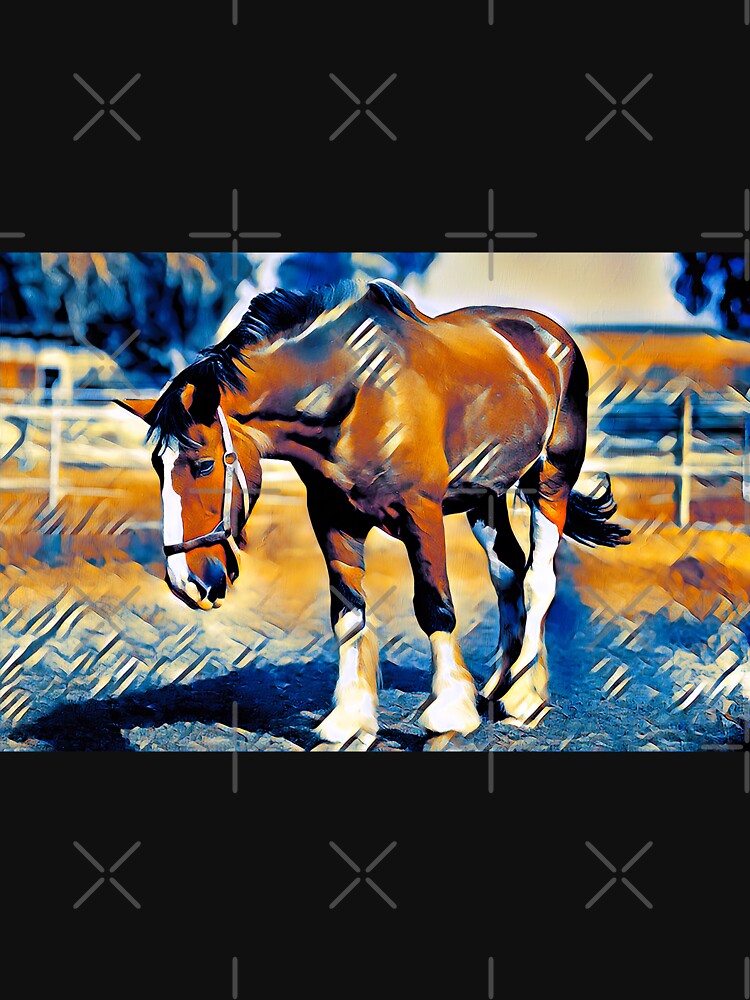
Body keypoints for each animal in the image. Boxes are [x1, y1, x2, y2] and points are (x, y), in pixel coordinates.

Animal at [118, 278, 629, 745]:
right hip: (486, 497)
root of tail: (550, 336)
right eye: (157, 466)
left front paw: (448, 713)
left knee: (539, 578)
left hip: (550, 482)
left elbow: (435, 607)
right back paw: (497, 688)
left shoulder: (421, 515)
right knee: (507, 571)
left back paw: (524, 698)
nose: (187, 582)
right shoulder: (334, 520)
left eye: (203, 464)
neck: (358, 396)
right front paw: (348, 721)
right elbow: (348, 613)